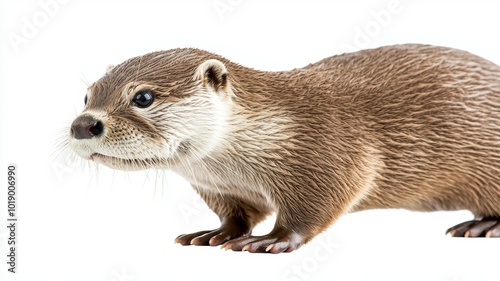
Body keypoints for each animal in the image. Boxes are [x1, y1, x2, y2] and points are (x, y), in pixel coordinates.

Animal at [69, 44, 500, 254]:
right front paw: (214, 233)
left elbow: (318, 205)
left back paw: (482, 225)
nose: (83, 124)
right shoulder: (221, 187)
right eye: (87, 95)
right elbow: (237, 214)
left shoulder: (332, 153)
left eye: (143, 97)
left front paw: (269, 240)